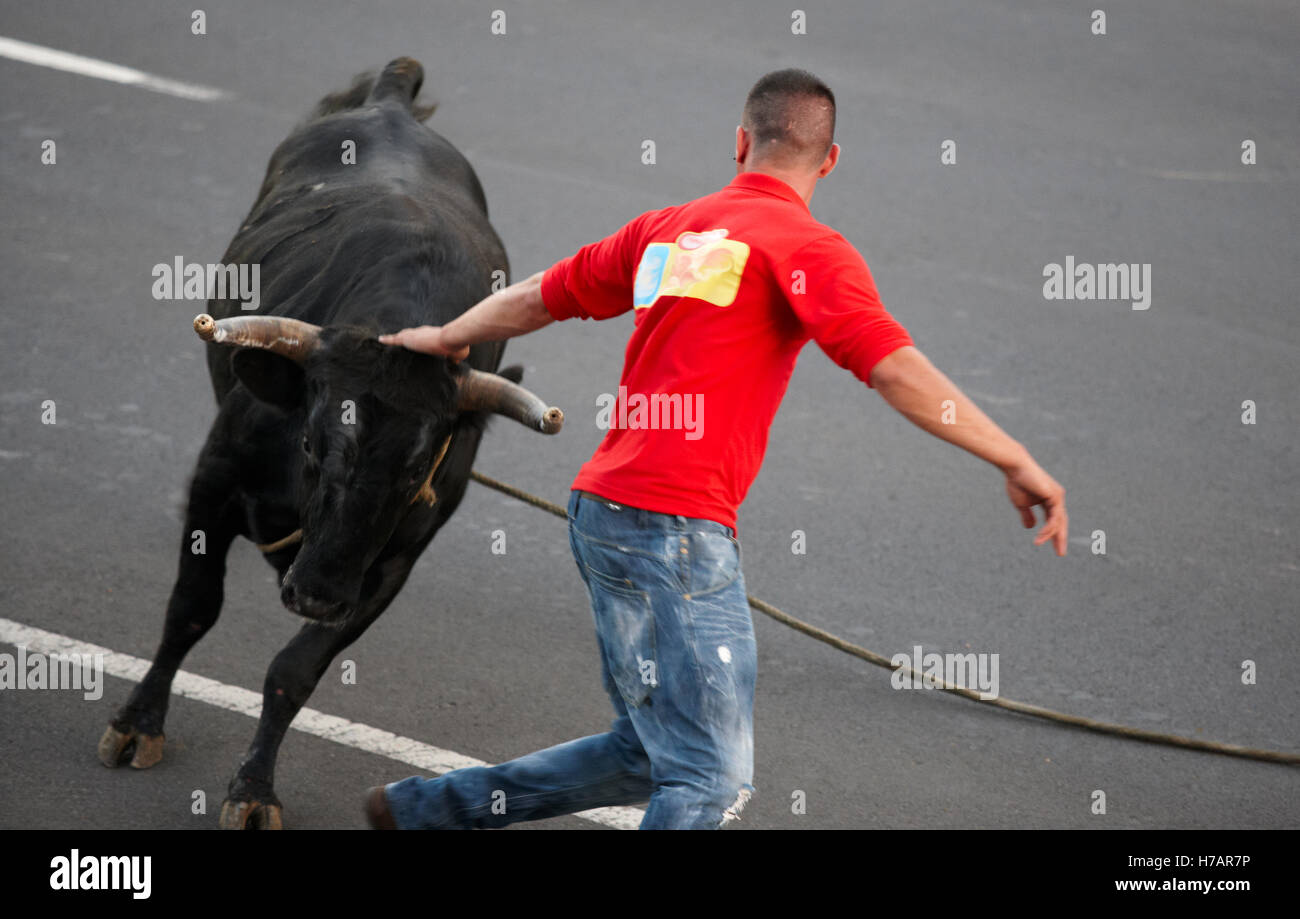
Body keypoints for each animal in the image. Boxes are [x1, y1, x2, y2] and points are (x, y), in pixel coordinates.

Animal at [96, 61, 564, 831]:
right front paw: (138, 724)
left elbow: (296, 670)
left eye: (417, 468)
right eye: (314, 443)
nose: (314, 594)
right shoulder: (213, 482)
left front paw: (254, 789)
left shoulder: (392, 561)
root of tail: (392, 98)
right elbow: (191, 607)